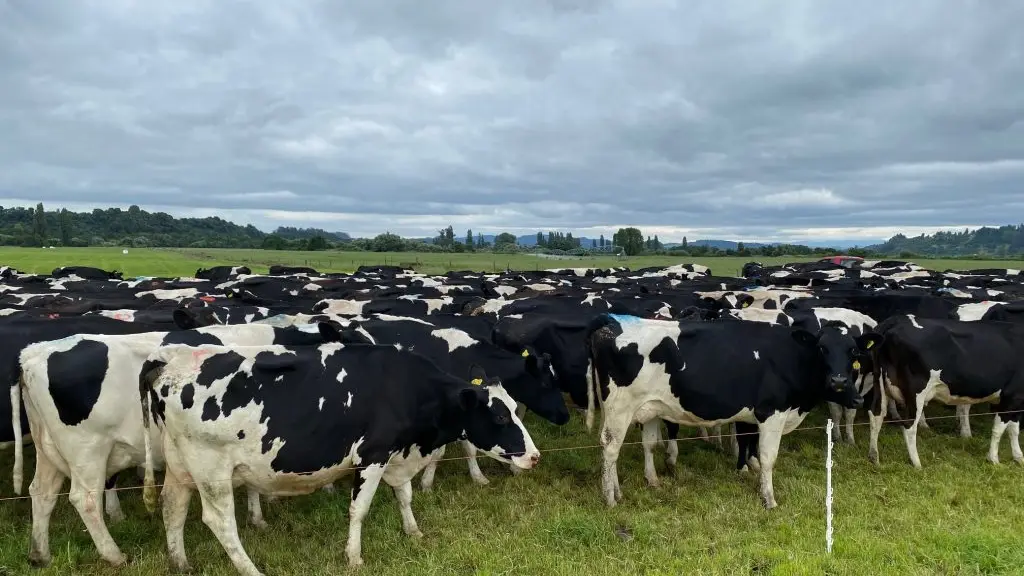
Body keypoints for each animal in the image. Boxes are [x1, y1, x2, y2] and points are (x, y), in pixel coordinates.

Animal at [141, 340, 544, 569]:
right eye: (499, 415)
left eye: (514, 407)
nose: (535, 456)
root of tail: (170, 357)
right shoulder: (374, 455)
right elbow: (359, 509)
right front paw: (354, 557)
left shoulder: (396, 456)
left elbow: (405, 495)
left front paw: (413, 531)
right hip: (211, 469)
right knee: (220, 522)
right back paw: (250, 569)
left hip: (179, 465)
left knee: (172, 508)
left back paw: (180, 563)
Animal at [585, 313, 880, 506]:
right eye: (821, 348)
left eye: (853, 352)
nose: (839, 382)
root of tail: (610, 324)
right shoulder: (772, 413)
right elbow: (768, 457)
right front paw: (768, 498)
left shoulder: (752, 415)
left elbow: (747, 442)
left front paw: (748, 472)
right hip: (620, 408)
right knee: (610, 448)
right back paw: (610, 498)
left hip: (641, 407)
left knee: (640, 445)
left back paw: (639, 485)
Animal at [872, 313, 1024, 467]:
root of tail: (898, 319)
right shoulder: (1012, 396)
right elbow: (999, 429)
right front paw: (993, 459)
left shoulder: (1017, 401)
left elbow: (1013, 429)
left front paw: (1018, 457)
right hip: (915, 392)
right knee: (909, 426)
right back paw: (917, 463)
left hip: (879, 384)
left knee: (876, 416)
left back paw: (874, 457)